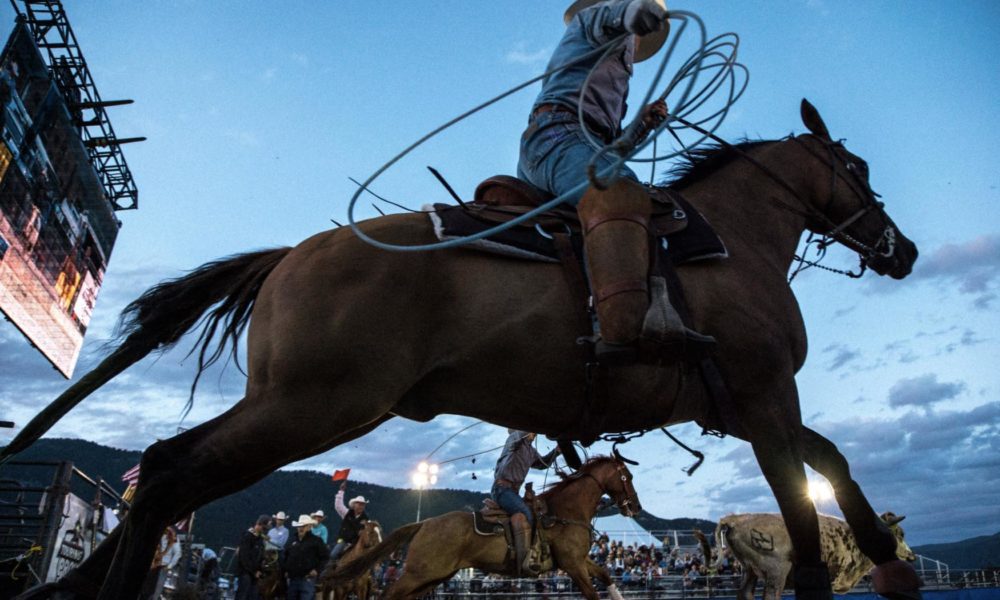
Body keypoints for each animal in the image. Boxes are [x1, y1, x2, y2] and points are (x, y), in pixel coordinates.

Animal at [328, 454, 640, 600]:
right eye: (627, 476)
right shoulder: (572, 564)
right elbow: (592, 592)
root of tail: (424, 523)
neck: (565, 511)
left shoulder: (579, 560)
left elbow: (605, 575)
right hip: (419, 573)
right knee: (388, 594)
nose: (635, 507)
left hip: (433, 576)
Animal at [700, 510, 916, 600]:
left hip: (749, 569)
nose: (912, 556)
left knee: (745, 593)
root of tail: (736, 518)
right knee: (770, 596)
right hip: (776, 569)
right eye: (899, 534)